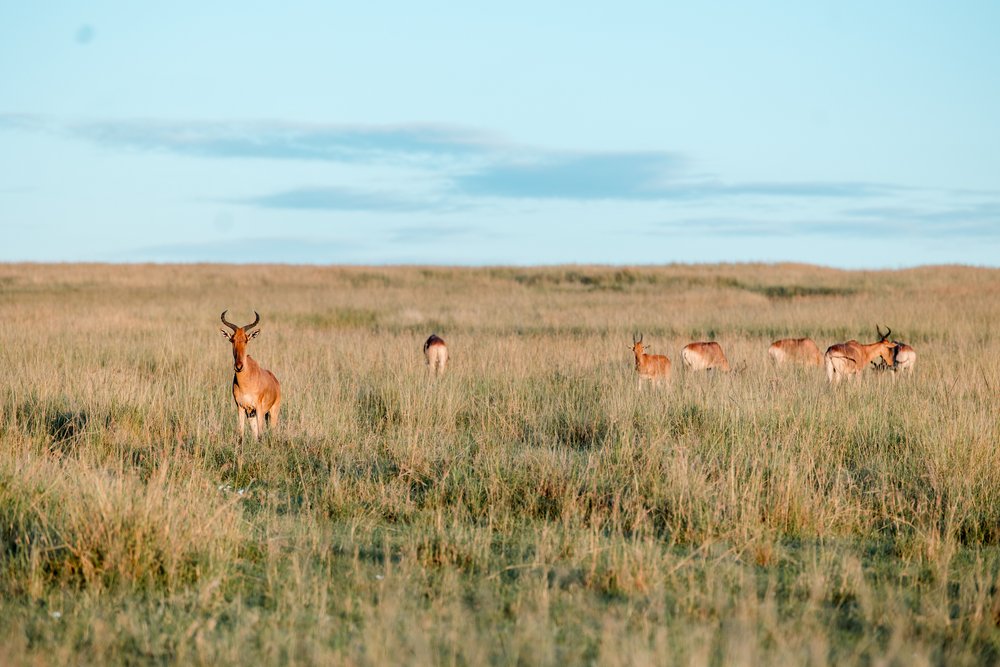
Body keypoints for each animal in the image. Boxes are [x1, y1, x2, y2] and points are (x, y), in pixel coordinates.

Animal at [220, 312, 282, 440]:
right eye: (232, 339)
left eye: (246, 339)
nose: (239, 366)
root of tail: (275, 380)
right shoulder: (241, 407)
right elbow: (241, 434)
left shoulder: (258, 408)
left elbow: (261, 434)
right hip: (251, 414)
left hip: (272, 411)